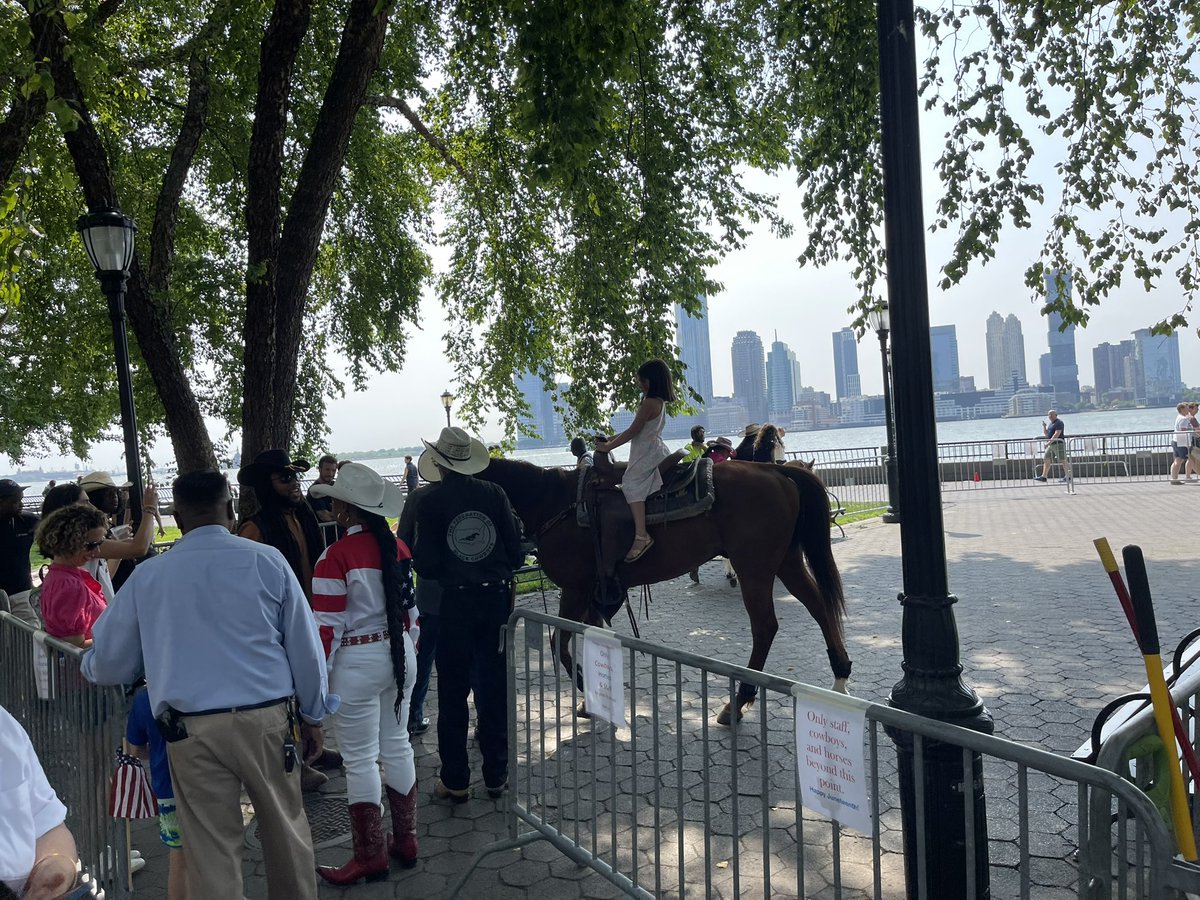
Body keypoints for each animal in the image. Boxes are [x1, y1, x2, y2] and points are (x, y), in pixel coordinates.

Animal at [477, 458, 854, 724]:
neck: (553, 502)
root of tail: (776, 470)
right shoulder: (593, 592)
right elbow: (589, 635)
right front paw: (594, 695)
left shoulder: (575, 587)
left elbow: (561, 640)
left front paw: (585, 690)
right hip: (786, 561)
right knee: (819, 606)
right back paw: (840, 676)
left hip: (755, 569)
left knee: (765, 627)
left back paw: (738, 701)